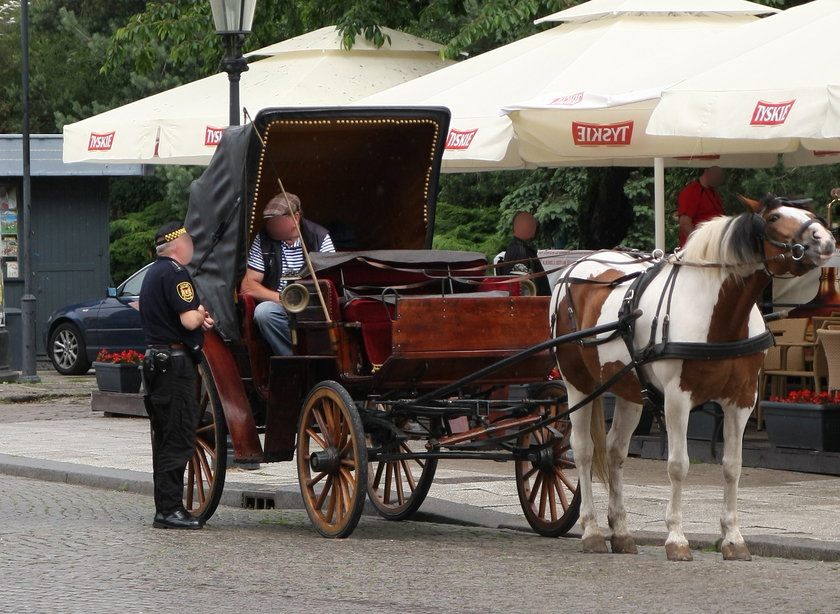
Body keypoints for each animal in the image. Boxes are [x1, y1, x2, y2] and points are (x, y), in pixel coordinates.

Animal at [552, 195, 832, 560]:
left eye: (810, 214)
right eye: (773, 218)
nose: (824, 240)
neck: (718, 315)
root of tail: (575, 268)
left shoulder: (742, 400)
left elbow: (732, 466)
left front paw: (733, 538)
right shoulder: (676, 399)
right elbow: (678, 465)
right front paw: (676, 538)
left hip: (628, 390)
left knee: (614, 451)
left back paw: (622, 532)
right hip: (578, 384)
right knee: (583, 450)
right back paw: (592, 531)